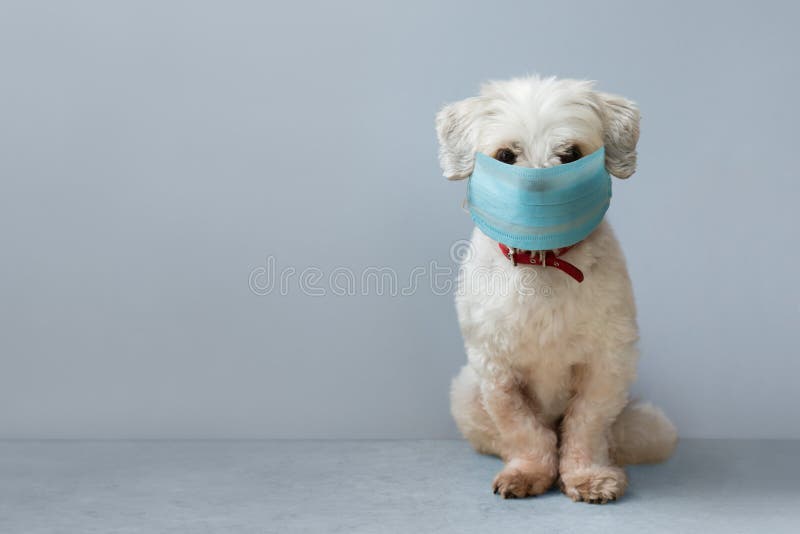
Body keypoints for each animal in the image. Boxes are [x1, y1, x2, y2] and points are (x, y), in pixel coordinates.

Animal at [438, 76, 676, 506]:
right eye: (505, 155)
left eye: (570, 155)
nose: (540, 191)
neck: (543, 263)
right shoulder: (496, 369)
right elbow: (523, 428)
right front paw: (530, 471)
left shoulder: (607, 364)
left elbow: (586, 424)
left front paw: (588, 476)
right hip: (465, 392)